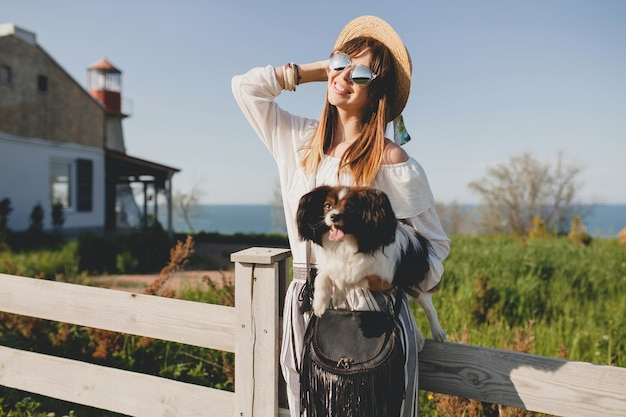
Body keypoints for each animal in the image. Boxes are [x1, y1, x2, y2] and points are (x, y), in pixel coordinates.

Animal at [296, 185, 444, 342]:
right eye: (327, 206)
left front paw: (338, 294)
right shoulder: (331, 264)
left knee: (428, 305)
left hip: (415, 283)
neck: (346, 242)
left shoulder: (377, 271)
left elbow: (348, 275)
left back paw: (438, 333)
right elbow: (322, 278)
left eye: (349, 207)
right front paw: (319, 303)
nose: (333, 216)